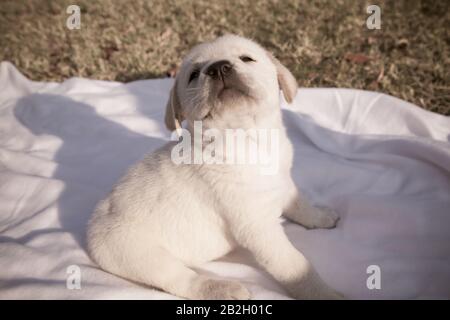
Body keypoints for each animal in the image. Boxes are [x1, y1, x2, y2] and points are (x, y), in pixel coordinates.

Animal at [86, 35, 342, 300]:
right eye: (194, 75)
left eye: (247, 59)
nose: (218, 67)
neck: (248, 138)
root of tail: (92, 225)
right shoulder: (259, 228)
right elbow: (295, 266)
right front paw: (325, 294)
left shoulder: (284, 182)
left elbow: (300, 205)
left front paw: (320, 217)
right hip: (138, 254)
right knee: (182, 280)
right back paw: (224, 289)